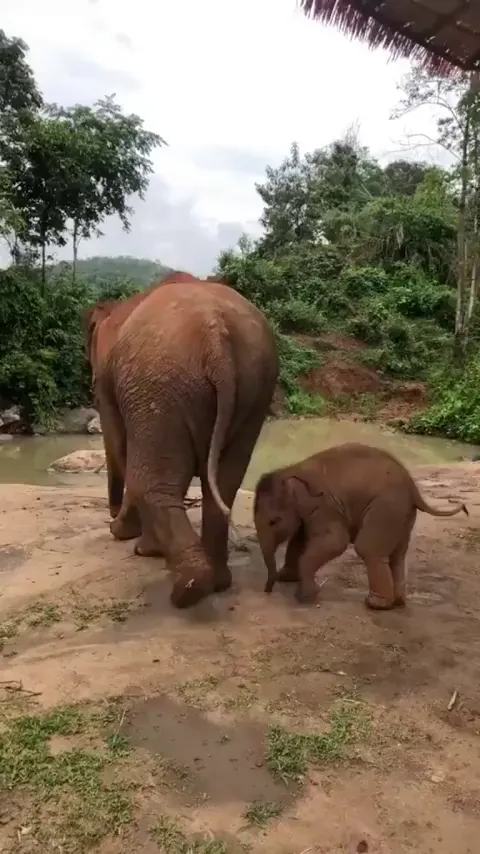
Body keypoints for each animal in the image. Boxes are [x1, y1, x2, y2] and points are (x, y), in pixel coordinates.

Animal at [85, 278, 278, 609]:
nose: (111, 515)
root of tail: (215, 339)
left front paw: (128, 538)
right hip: (253, 387)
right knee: (224, 482)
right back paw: (217, 583)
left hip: (159, 386)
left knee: (150, 483)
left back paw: (186, 589)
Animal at [254, 442, 468, 610]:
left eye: (273, 521)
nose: (267, 590)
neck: (292, 470)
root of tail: (413, 488)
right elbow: (298, 541)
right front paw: (286, 578)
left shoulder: (326, 506)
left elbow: (334, 542)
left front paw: (306, 597)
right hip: (402, 514)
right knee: (397, 555)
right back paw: (398, 602)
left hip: (386, 508)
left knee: (368, 548)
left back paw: (375, 604)